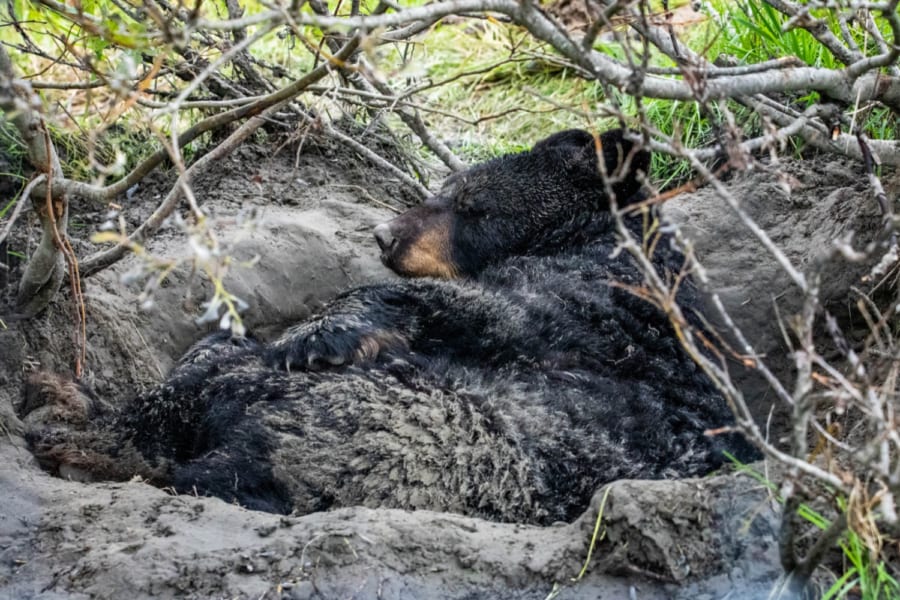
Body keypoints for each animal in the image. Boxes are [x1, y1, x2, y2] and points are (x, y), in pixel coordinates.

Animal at [28, 127, 756, 524]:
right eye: (447, 184)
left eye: (472, 203)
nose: (384, 234)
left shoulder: (592, 303)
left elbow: (488, 310)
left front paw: (314, 334)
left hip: (371, 429)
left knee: (211, 393)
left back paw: (76, 419)